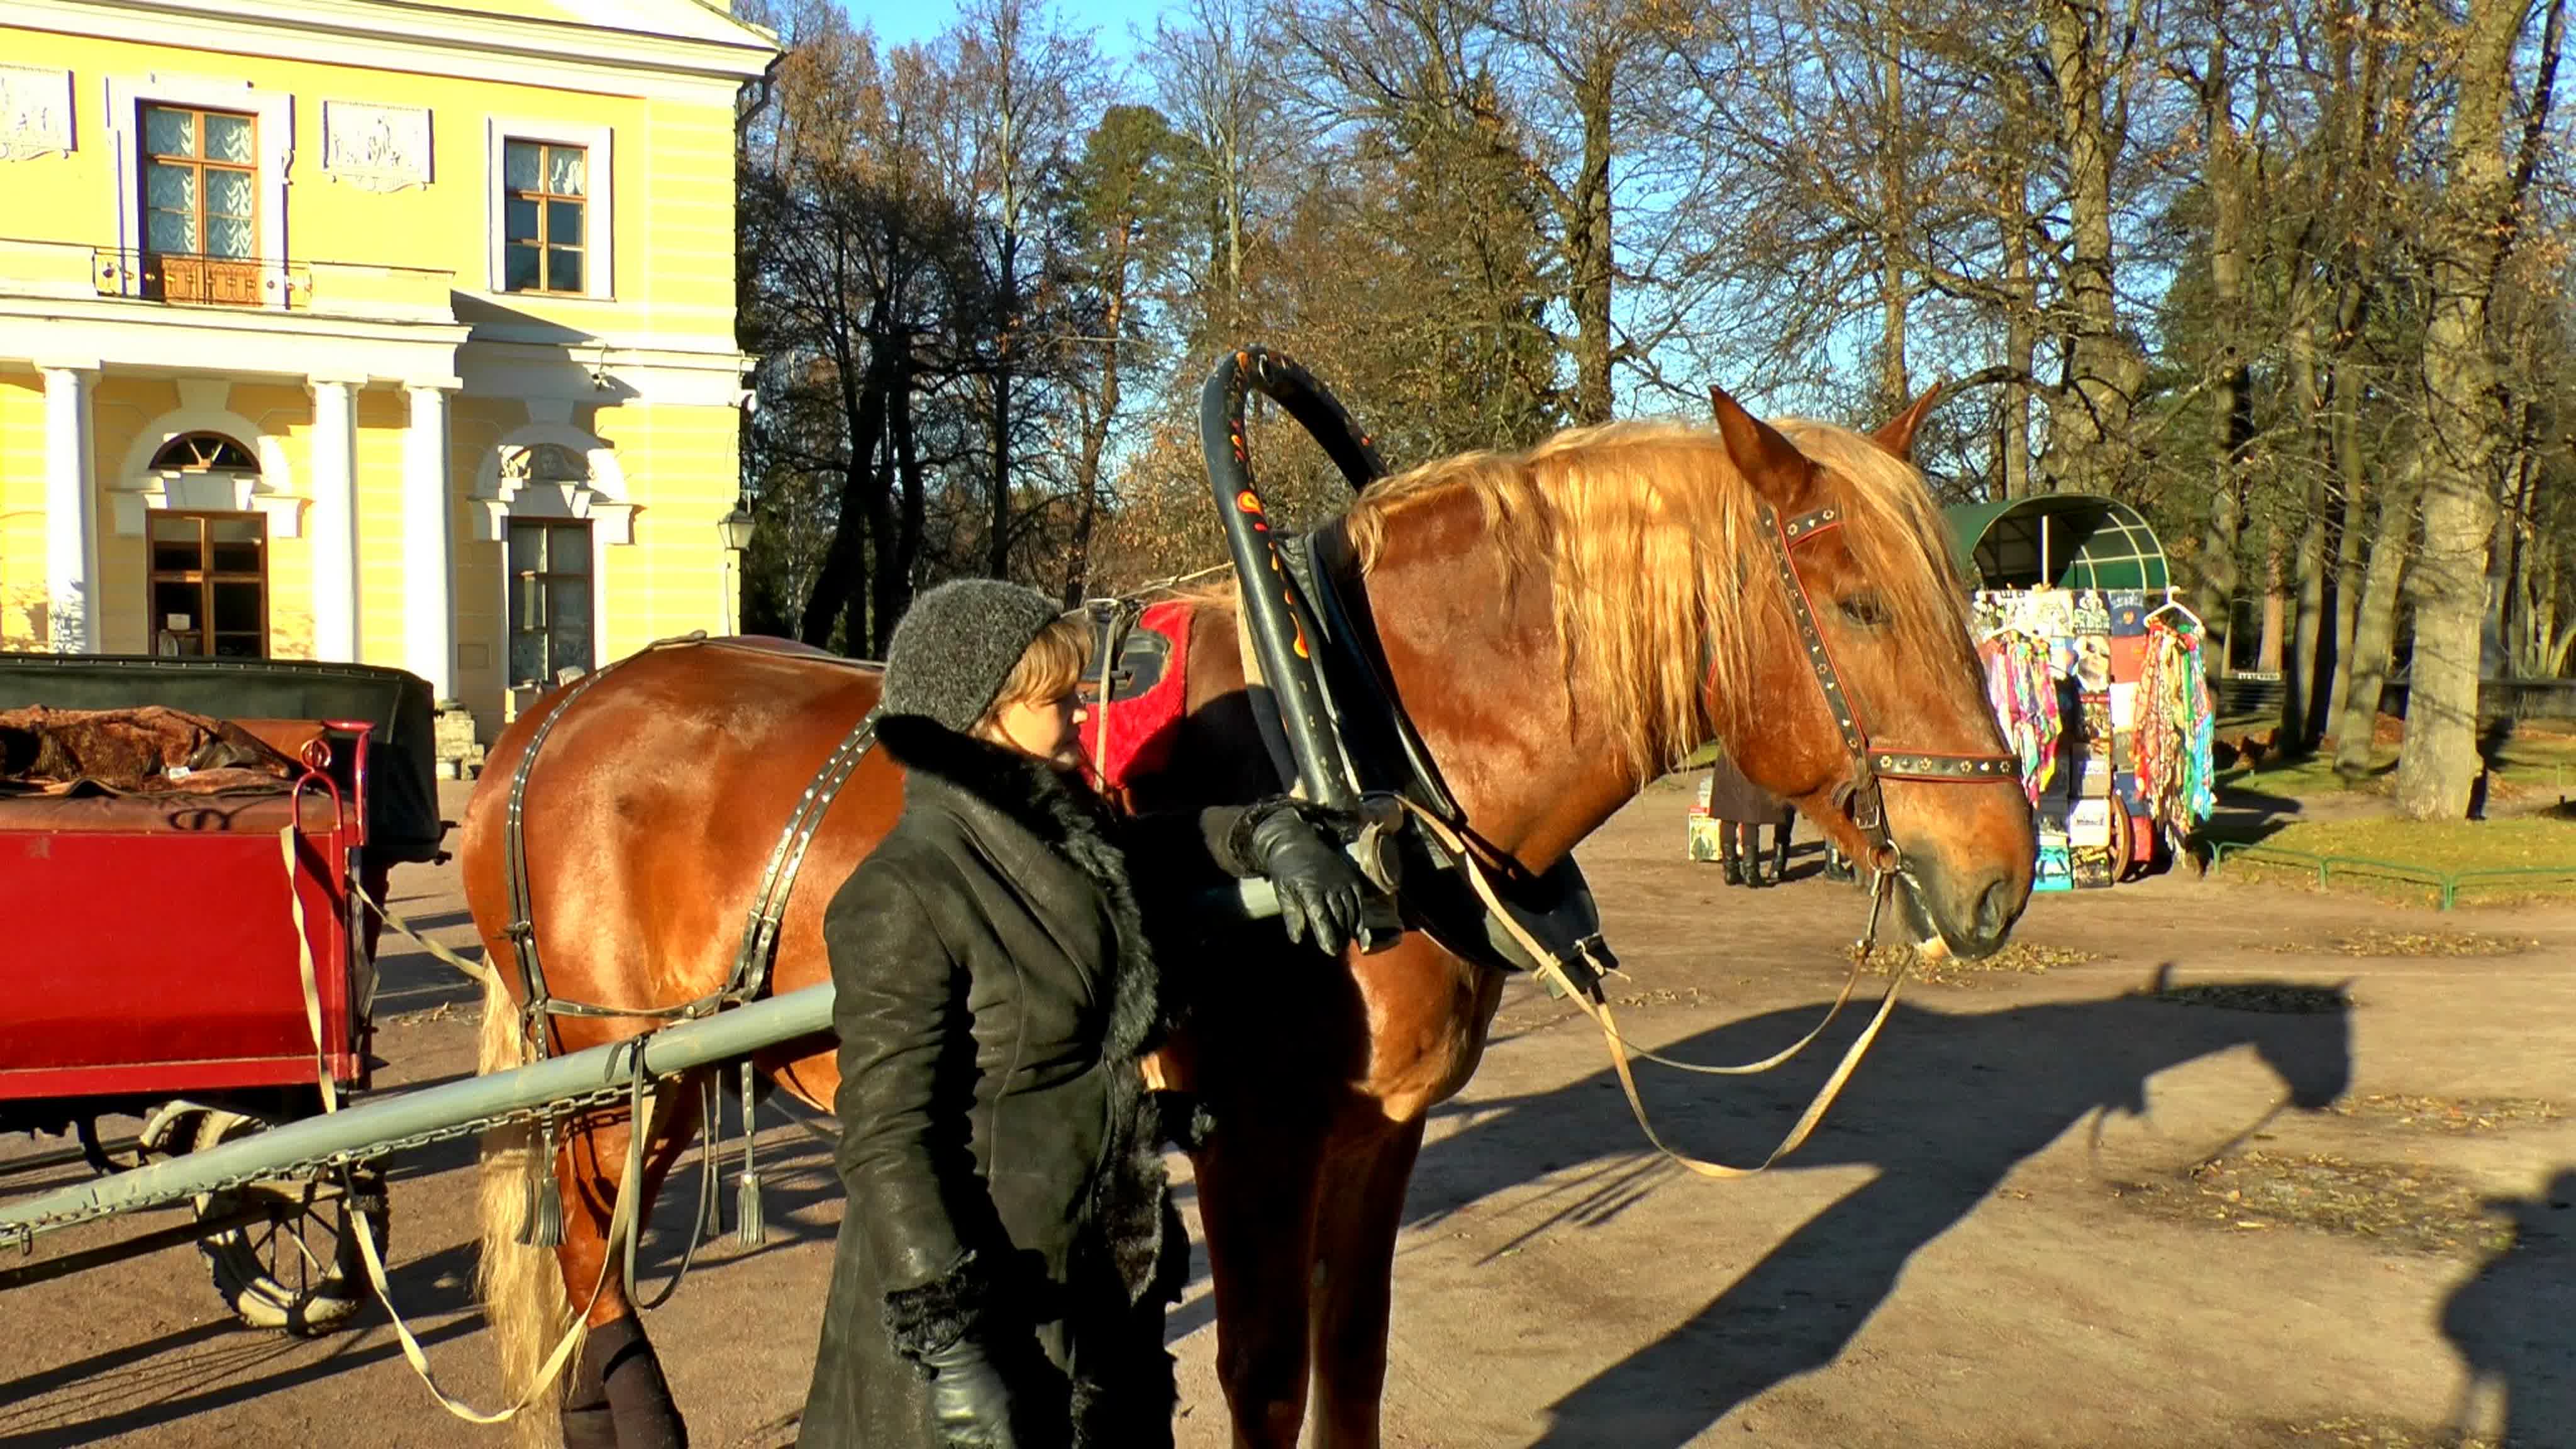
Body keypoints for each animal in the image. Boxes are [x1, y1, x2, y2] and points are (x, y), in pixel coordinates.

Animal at [458, 386, 2029, 1443]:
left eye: (1958, 593)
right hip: (608, 1082)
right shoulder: (1257, 1136)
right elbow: (1266, 1376)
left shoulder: (1377, 1132)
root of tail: (553, 716)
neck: (1353, 742)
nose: (1999, 872)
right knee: (596, 1298)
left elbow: (1353, 1366)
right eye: (1856, 603)